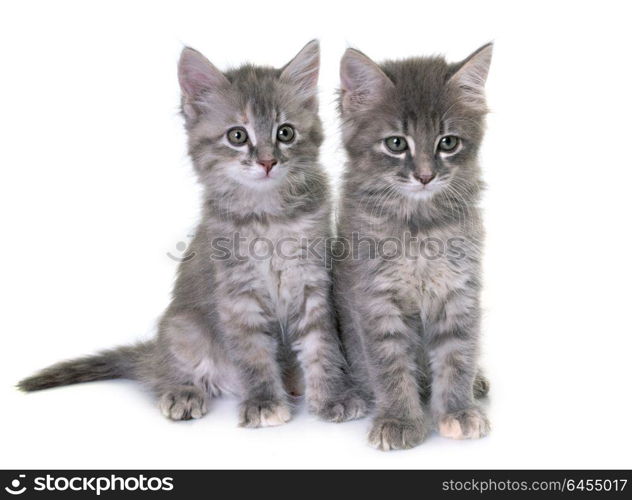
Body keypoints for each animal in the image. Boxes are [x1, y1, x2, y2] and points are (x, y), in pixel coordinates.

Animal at [18, 41, 366, 428]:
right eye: (237, 135)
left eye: (285, 133)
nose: (267, 162)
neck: (268, 217)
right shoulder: (235, 293)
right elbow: (253, 354)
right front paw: (263, 402)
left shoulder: (312, 281)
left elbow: (322, 345)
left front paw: (334, 397)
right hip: (182, 327)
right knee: (164, 372)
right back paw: (182, 393)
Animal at [336, 43, 494, 450]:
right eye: (396, 143)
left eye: (447, 142)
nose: (425, 175)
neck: (420, 229)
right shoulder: (376, 300)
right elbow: (390, 366)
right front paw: (400, 420)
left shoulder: (460, 292)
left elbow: (458, 355)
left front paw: (458, 411)